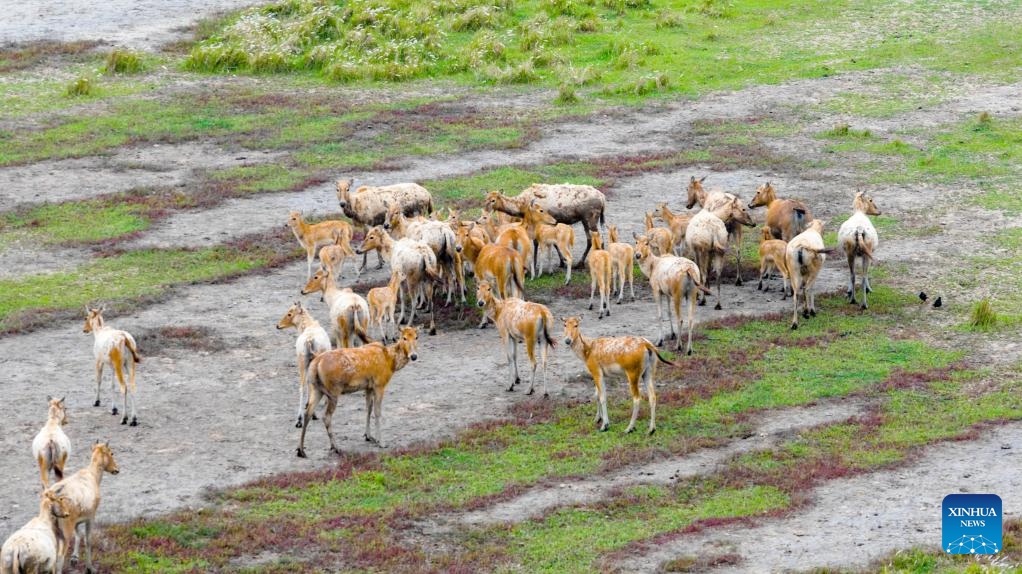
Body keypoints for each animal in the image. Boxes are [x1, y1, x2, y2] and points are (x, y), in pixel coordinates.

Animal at [48, 442, 119, 574]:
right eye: (112, 453)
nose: (116, 469)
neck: (93, 476)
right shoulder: (91, 516)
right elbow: (88, 540)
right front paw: (90, 568)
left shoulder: (77, 520)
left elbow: (78, 535)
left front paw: (74, 559)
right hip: (65, 529)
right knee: (59, 556)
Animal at [297, 326, 419, 458]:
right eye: (404, 337)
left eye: (416, 337)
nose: (414, 356)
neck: (390, 362)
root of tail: (316, 363)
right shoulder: (379, 384)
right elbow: (377, 412)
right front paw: (381, 442)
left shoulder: (368, 387)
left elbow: (368, 409)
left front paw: (368, 436)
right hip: (333, 390)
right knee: (326, 417)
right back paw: (336, 447)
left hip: (316, 389)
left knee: (308, 413)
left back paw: (301, 450)